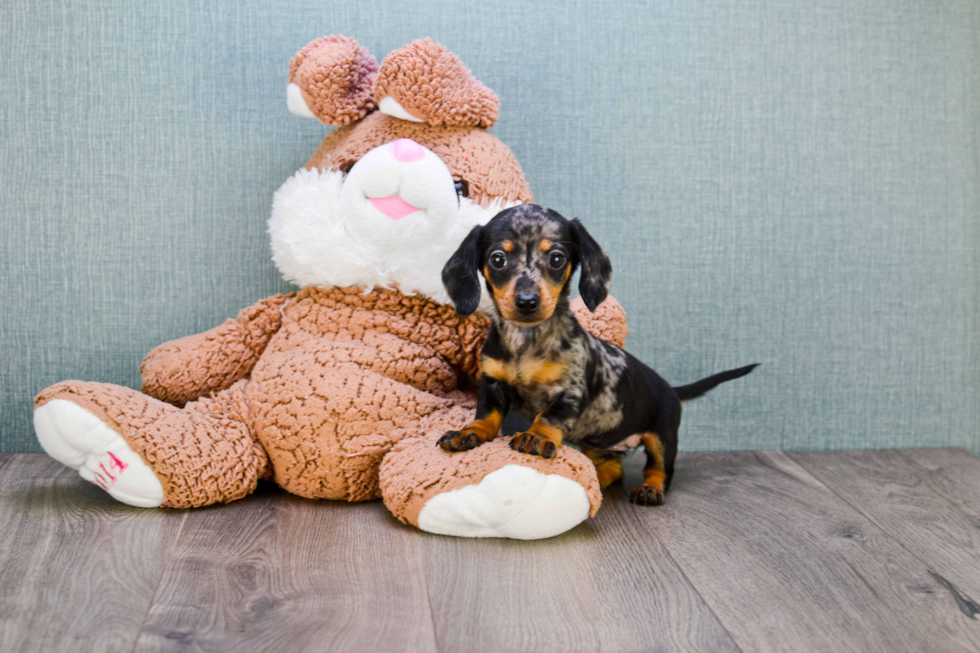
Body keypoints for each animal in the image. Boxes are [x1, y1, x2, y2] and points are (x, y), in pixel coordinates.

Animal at [438, 204, 756, 504]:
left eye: (557, 258)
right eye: (497, 259)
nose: (527, 302)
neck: (525, 342)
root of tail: (671, 389)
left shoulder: (570, 392)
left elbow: (548, 417)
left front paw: (536, 436)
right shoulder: (493, 384)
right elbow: (486, 415)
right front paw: (469, 432)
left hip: (663, 436)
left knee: (660, 469)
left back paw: (650, 489)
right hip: (598, 441)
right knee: (614, 466)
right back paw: (598, 482)